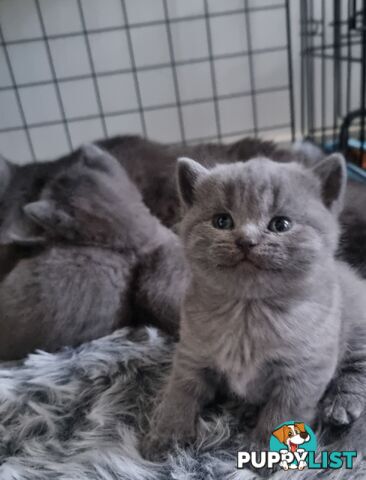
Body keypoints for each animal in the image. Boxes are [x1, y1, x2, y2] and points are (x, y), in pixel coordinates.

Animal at [142, 153, 366, 458]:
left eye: (281, 224)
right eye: (222, 221)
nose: (246, 240)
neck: (247, 312)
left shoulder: (304, 373)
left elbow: (281, 414)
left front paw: (266, 452)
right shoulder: (191, 355)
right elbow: (180, 393)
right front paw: (167, 434)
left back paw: (341, 406)